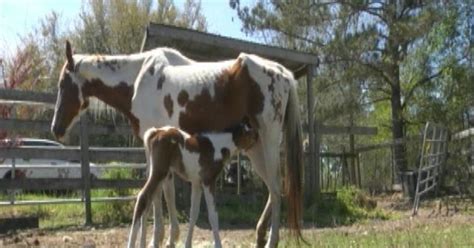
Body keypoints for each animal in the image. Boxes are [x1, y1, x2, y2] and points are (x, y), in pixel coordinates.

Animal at [128, 125, 258, 248]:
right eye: (250, 134)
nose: (257, 140)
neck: (217, 148)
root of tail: (155, 132)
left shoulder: (196, 184)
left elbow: (193, 213)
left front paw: (188, 244)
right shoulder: (208, 182)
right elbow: (213, 215)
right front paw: (218, 244)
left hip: (156, 174)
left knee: (148, 203)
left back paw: (143, 244)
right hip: (160, 173)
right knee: (143, 197)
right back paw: (131, 243)